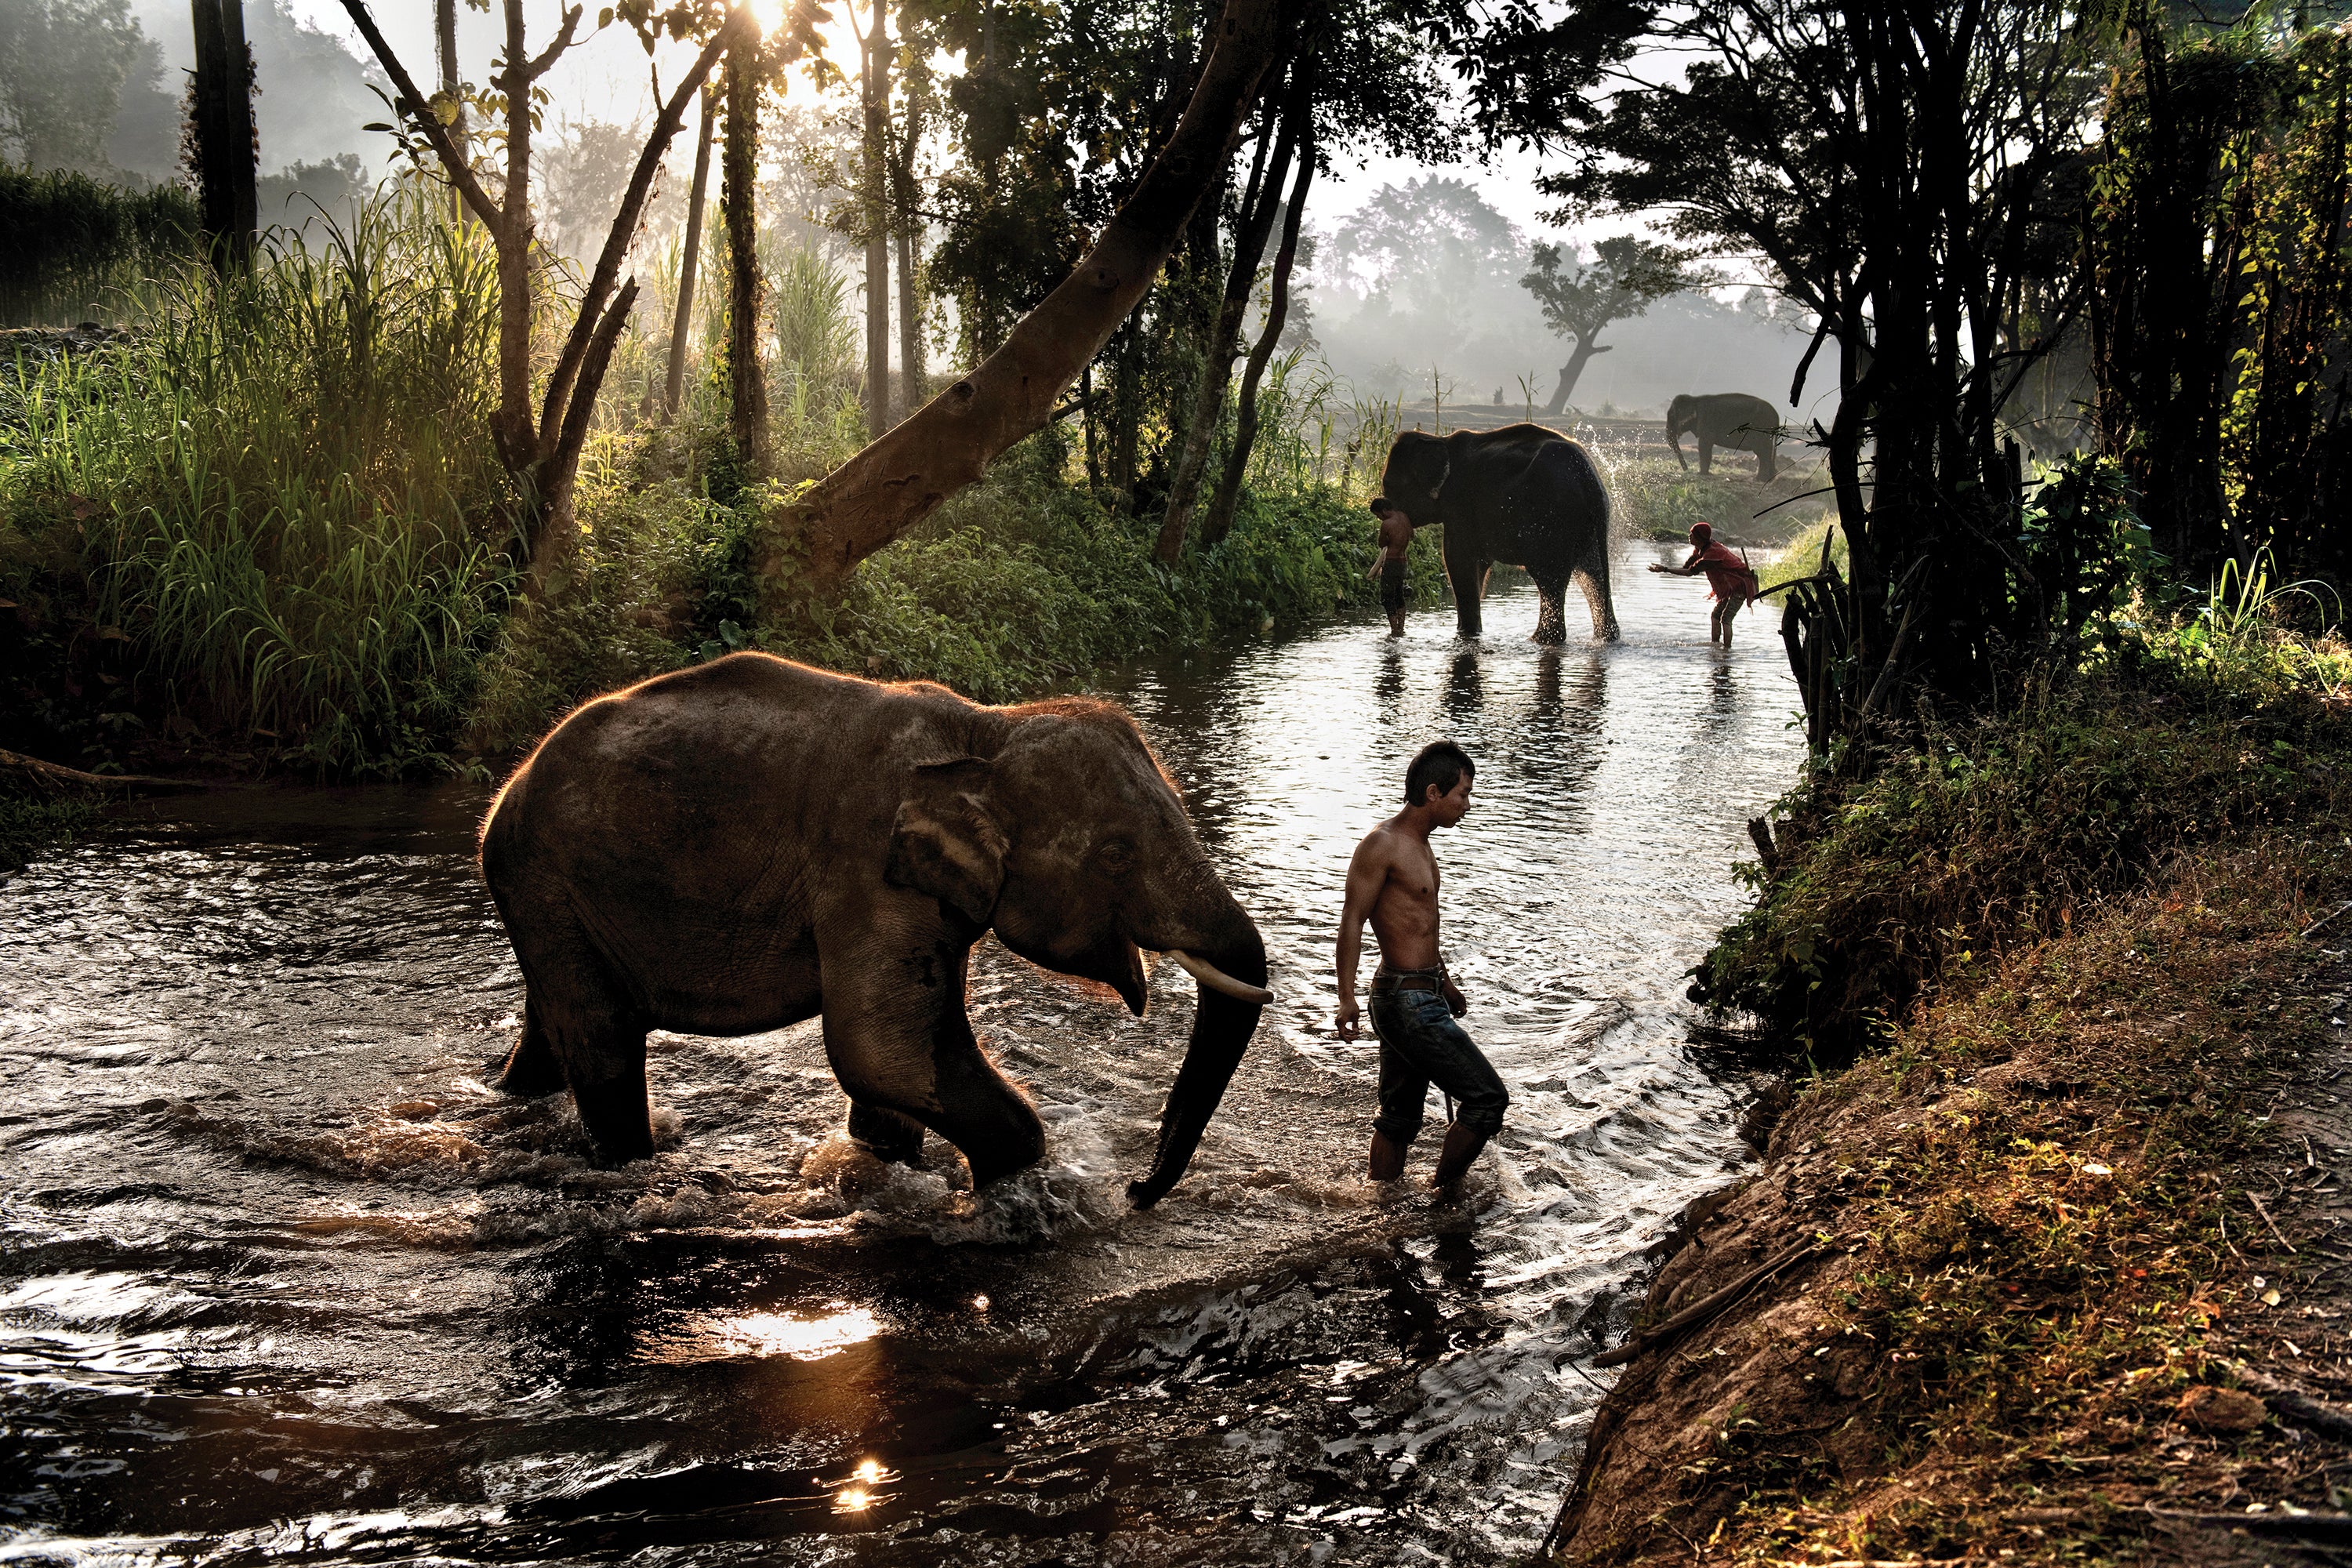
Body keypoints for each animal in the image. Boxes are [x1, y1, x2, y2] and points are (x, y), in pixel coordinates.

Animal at [473, 658, 1270, 1213]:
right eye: (1115, 854)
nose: (1136, 1191)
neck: (983, 730)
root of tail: (510, 784)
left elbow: (902, 1054)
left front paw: (888, 1166)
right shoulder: (862, 863)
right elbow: (881, 1049)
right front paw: (1016, 1187)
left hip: (553, 903)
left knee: (555, 1022)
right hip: (543, 882)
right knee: (603, 1036)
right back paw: (630, 1168)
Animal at [1374, 423, 1618, 644]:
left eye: (1388, 485)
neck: (1439, 439)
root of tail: (1589, 481)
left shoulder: (1459, 505)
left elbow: (1457, 561)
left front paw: (1466, 634)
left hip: (1551, 520)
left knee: (1549, 578)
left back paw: (1540, 640)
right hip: (1587, 526)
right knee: (1592, 574)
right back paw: (1605, 637)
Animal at [1665, 390, 1788, 479]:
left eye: (1672, 416)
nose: (1686, 470)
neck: (1694, 399)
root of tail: (1776, 415)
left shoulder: (1706, 422)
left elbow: (1704, 445)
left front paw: (1701, 474)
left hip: (1761, 429)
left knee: (1762, 453)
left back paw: (1759, 479)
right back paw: (1768, 477)